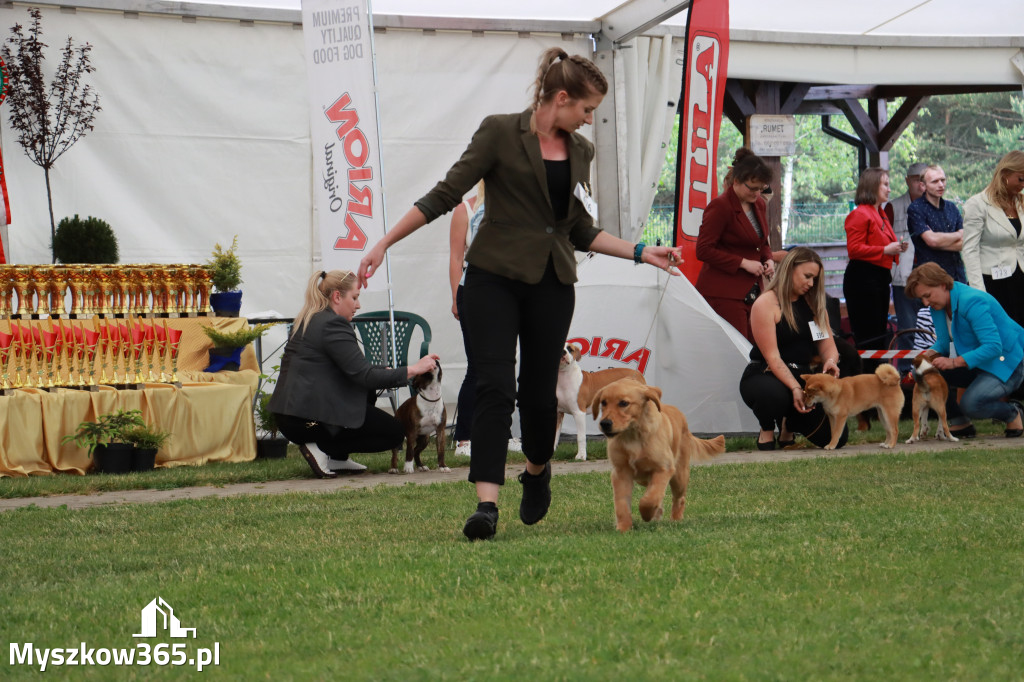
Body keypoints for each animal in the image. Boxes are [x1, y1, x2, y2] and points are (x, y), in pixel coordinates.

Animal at [589, 376, 724, 532]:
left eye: (623, 403)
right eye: (603, 402)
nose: (605, 423)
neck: (633, 436)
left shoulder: (663, 468)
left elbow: (650, 498)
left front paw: (646, 514)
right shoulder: (621, 472)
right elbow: (621, 503)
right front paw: (624, 527)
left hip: (679, 475)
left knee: (679, 498)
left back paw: (676, 519)